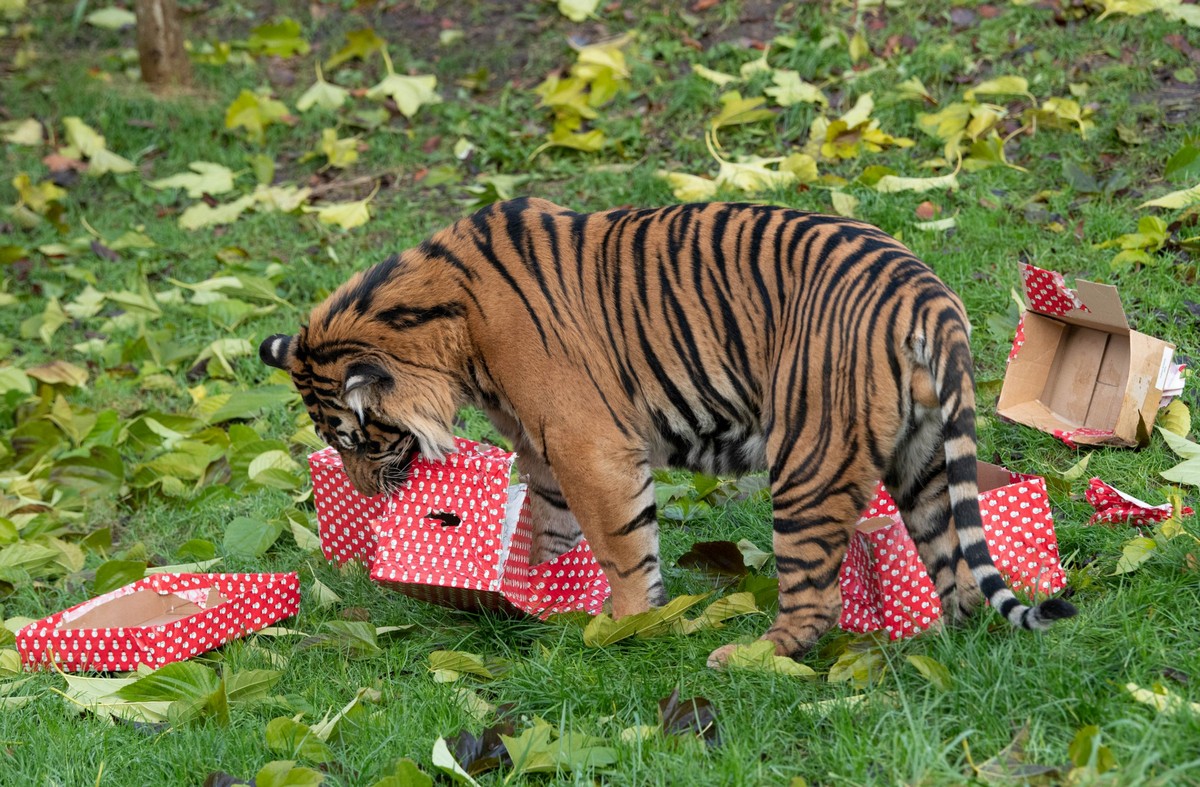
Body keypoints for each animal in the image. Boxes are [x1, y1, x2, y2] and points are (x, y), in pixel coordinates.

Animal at [260, 196, 1080, 662]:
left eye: (353, 439)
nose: (366, 491)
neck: (443, 324)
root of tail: (924, 291)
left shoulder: (587, 445)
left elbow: (621, 544)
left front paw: (622, 628)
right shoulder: (542, 448)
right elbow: (550, 530)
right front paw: (538, 599)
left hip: (808, 460)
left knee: (814, 596)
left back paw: (746, 659)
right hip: (923, 455)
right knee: (956, 572)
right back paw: (942, 646)